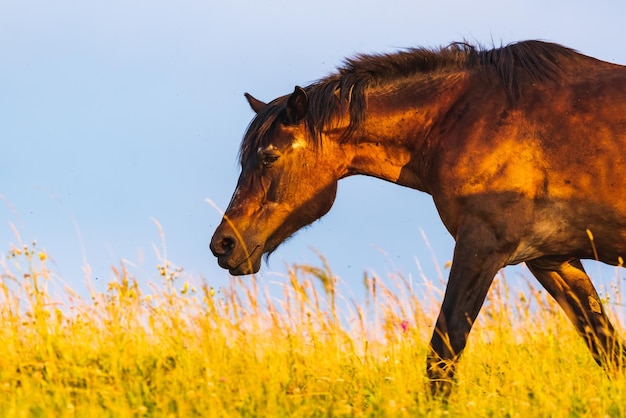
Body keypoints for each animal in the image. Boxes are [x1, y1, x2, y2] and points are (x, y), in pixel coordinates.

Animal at [211, 40, 624, 396]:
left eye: (269, 156)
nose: (223, 244)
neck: (467, 118)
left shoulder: (481, 247)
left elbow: (442, 352)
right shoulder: (553, 260)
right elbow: (607, 349)